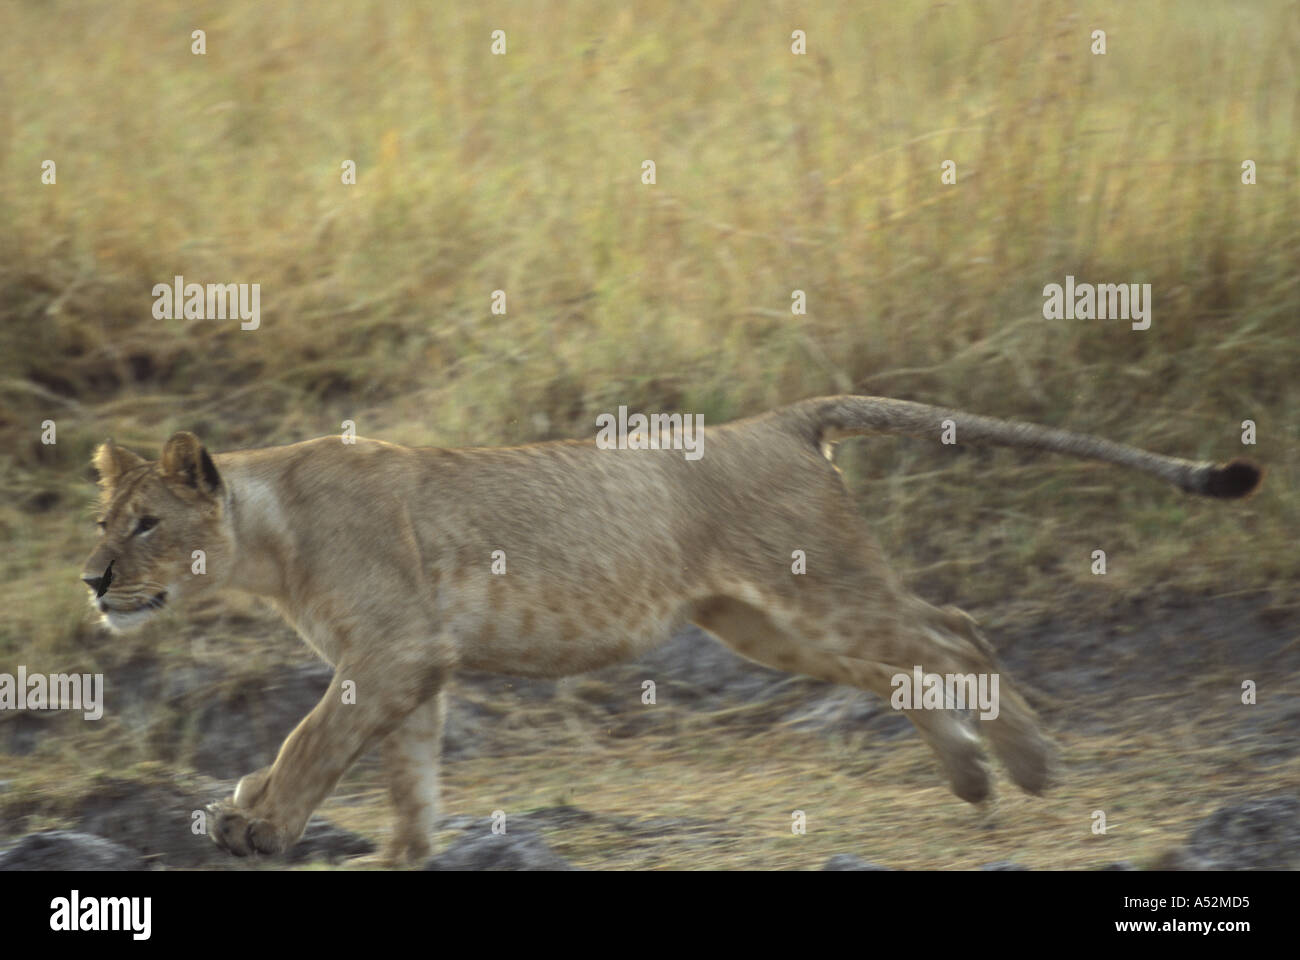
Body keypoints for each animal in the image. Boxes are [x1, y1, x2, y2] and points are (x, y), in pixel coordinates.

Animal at [80, 395, 1261, 864]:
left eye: (145, 524)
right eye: (103, 520)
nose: (92, 581)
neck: (265, 536)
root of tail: (779, 422)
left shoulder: (394, 650)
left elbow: (308, 739)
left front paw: (254, 823)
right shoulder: (416, 666)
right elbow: (407, 778)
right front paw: (397, 857)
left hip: (815, 594)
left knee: (952, 634)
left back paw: (1027, 766)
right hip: (764, 622)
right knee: (913, 655)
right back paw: (974, 777)